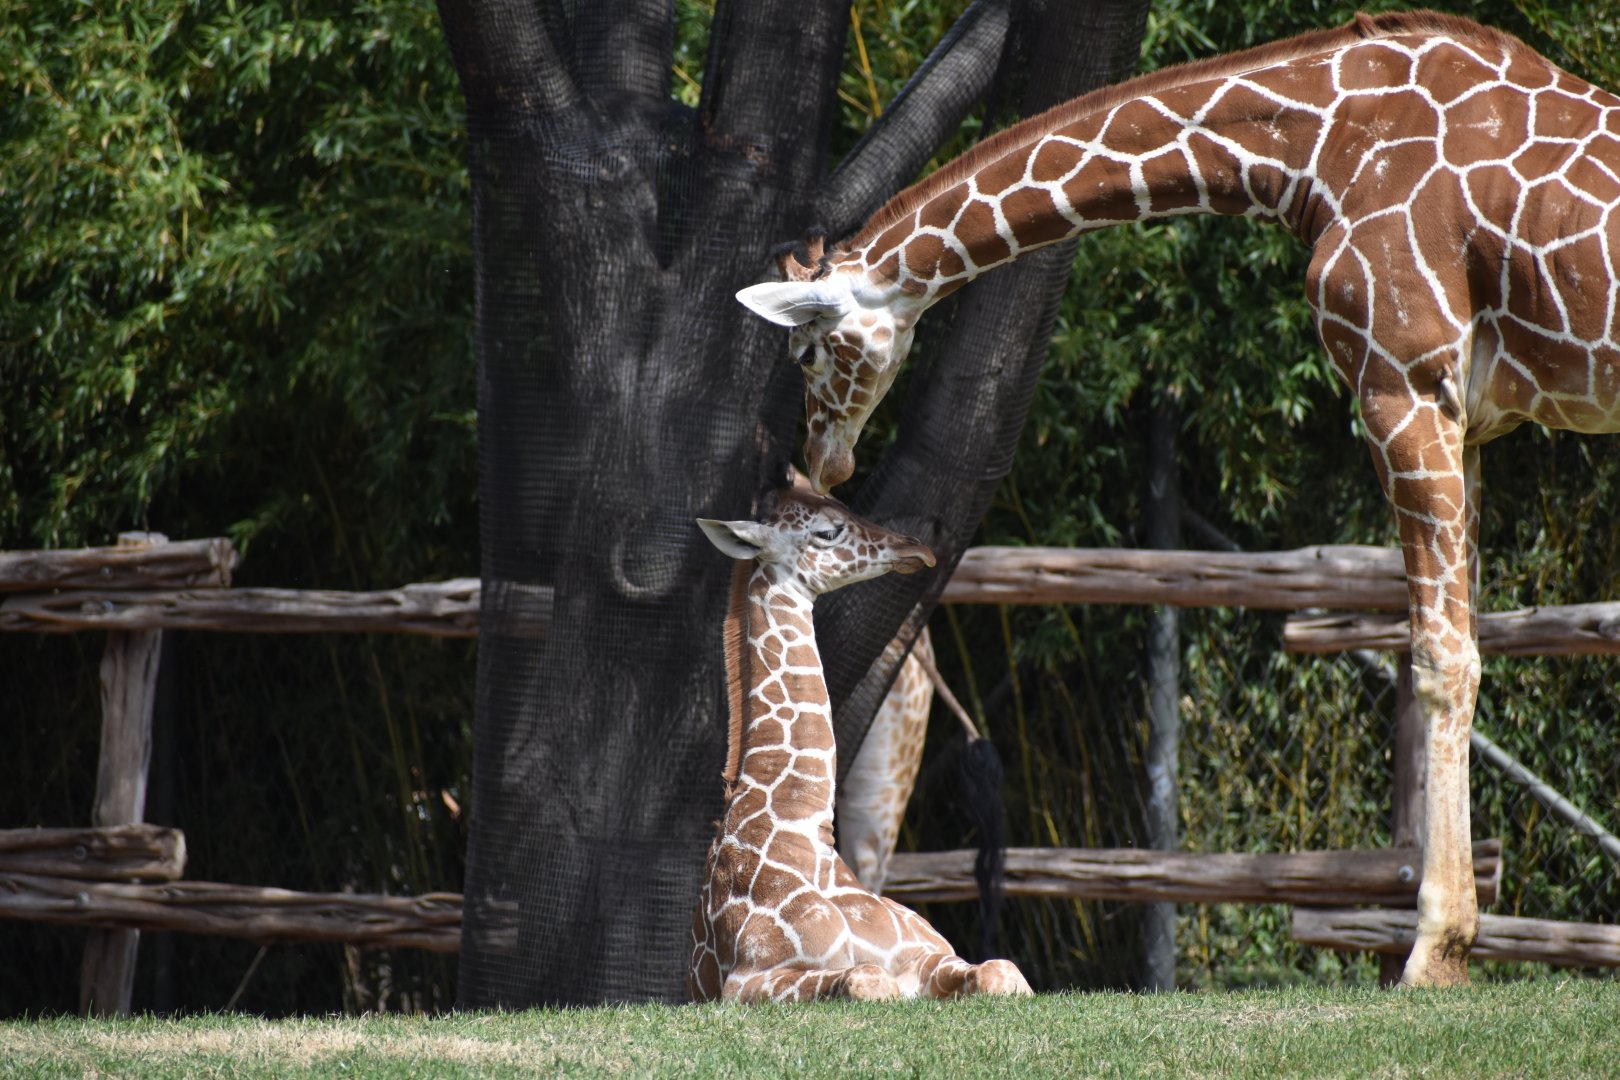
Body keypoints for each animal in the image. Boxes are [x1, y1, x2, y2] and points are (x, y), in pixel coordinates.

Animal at [689, 484, 1032, 1001]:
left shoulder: (931, 954)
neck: (802, 826)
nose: (918, 548)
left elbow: (1003, 972)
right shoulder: (750, 980)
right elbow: (866, 980)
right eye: (828, 532)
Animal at [737, 11, 1620, 987]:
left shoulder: (1403, 379)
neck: (1316, 151)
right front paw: (1454, 947)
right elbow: (1467, 642)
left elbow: (1438, 657)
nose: (823, 460)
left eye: (807, 351)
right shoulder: (1469, 415)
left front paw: (1432, 954)